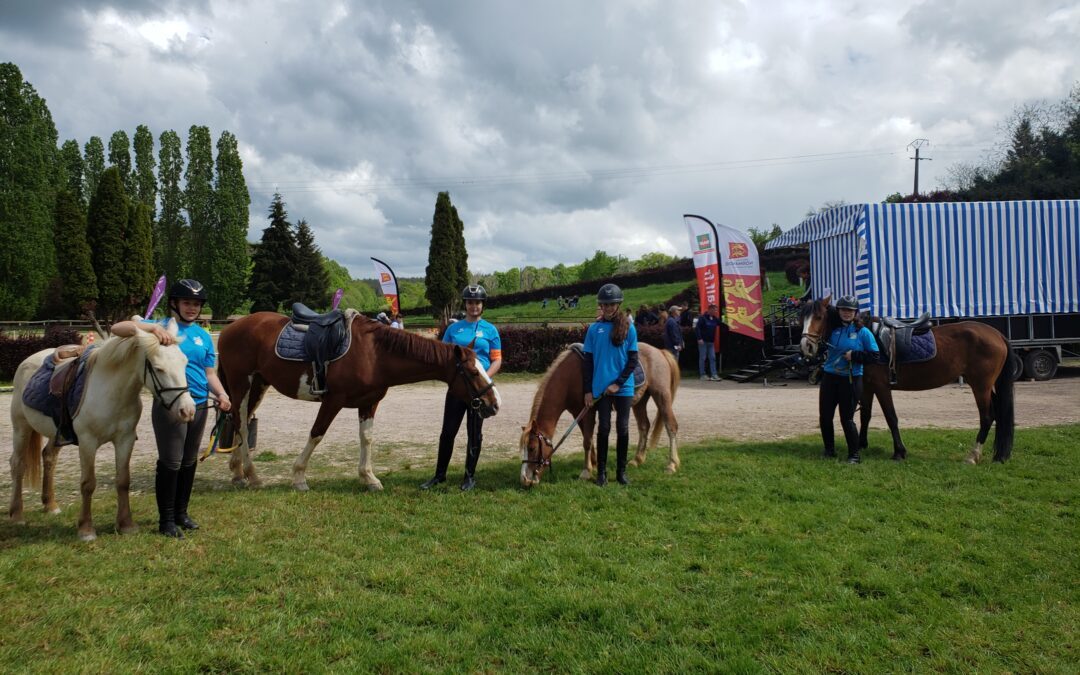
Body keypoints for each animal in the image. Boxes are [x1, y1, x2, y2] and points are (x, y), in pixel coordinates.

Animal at [8, 321, 195, 542]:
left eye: (184, 363)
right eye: (159, 369)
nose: (187, 410)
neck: (111, 392)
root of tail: (27, 361)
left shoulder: (125, 439)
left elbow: (123, 480)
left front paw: (126, 524)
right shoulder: (88, 442)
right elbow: (88, 484)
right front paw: (86, 529)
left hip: (56, 434)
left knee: (49, 458)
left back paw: (50, 505)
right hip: (21, 428)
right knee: (18, 465)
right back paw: (17, 515)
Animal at [220, 304, 505, 490]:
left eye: (483, 366)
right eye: (472, 372)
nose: (494, 404)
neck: (375, 353)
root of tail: (231, 327)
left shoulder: (369, 402)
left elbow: (366, 437)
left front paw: (369, 478)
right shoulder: (332, 401)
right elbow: (317, 433)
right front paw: (299, 477)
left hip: (259, 384)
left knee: (242, 421)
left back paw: (237, 472)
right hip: (241, 384)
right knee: (242, 424)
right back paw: (252, 475)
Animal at [518, 341, 678, 483]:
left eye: (532, 448)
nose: (525, 479)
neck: (571, 376)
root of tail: (660, 352)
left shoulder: (588, 411)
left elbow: (587, 441)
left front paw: (586, 471)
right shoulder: (578, 412)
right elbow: (587, 438)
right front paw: (593, 464)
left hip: (662, 396)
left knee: (671, 427)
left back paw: (671, 465)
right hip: (640, 401)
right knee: (644, 426)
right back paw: (637, 460)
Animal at [799, 293, 1015, 462]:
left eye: (819, 317)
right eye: (803, 317)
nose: (806, 346)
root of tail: (997, 334)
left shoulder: (882, 386)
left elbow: (891, 417)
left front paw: (899, 452)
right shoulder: (867, 387)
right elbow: (865, 415)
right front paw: (860, 445)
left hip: (980, 386)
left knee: (987, 417)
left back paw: (973, 455)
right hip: (986, 386)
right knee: (998, 415)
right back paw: (999, 455)